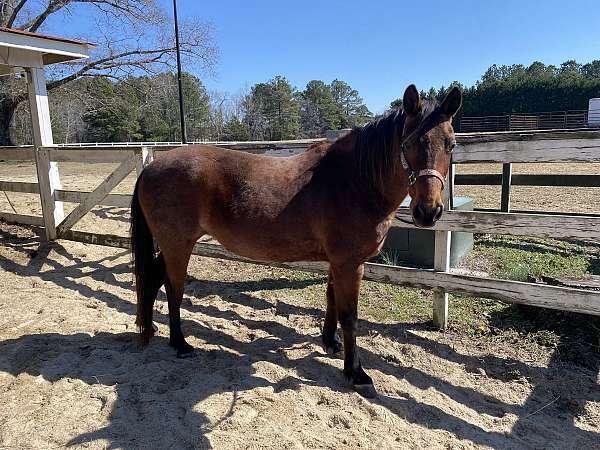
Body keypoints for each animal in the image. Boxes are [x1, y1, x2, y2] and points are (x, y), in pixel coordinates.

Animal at [130, 84, 460, 398]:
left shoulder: (337, 262)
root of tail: (150, 168)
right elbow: (350, 316)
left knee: (155, 281)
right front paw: (356, 373)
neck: (353, 181)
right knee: (173, 288)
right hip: (178, 245)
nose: (428, 212)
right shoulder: (350, 264)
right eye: (408, 143)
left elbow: (331, 299)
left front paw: (330, 342)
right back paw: (180, 344)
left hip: (171, 246)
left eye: (451, 144)